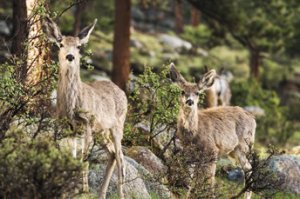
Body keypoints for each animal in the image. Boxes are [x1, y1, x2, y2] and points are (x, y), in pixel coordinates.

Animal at [43, 17, 126, 199]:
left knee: (120, 158)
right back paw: (101, 194)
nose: (70, 56)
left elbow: (84, 158)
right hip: (102, 131)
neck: (71, 107)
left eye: (79, 46)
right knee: (113, 154)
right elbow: (71, 156)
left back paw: (119, 193)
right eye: (60, 44)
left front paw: (84, 190)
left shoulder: (87, 124)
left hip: (118, 126)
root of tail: (122, 91)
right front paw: (69, 188)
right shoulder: (66, 125)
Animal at [170, 63, 256, 199]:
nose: (190, 101)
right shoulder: (188, 152)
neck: (194, 133)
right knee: (247, 168)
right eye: (182, 91)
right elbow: (189, 179)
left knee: (249, 168)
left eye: (197, 93)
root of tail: (253, 118)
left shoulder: (212, 150)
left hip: (244, 145)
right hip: (234, 151)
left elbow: (210, 180)